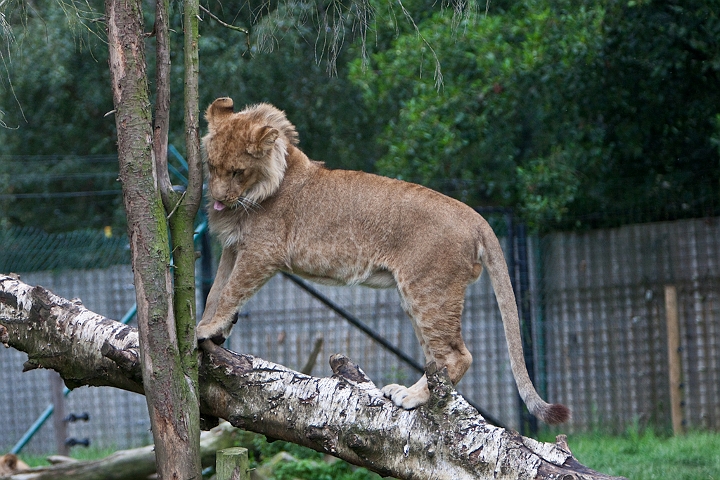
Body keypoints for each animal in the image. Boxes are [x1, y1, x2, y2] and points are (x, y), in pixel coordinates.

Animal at [196, 98, 570, 424]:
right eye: (212, 167)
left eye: (237, 171)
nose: (217, 199)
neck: (261, 187)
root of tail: (476, 217)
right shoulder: (235, 248)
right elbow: (215, 290)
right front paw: (206, 325)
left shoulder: (262, 252)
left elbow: (231, 290)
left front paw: (207, 329)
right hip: (419, 297)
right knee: (437, 359)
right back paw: (408, 391)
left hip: (429, 292)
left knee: (456, 355)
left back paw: (412, 397)